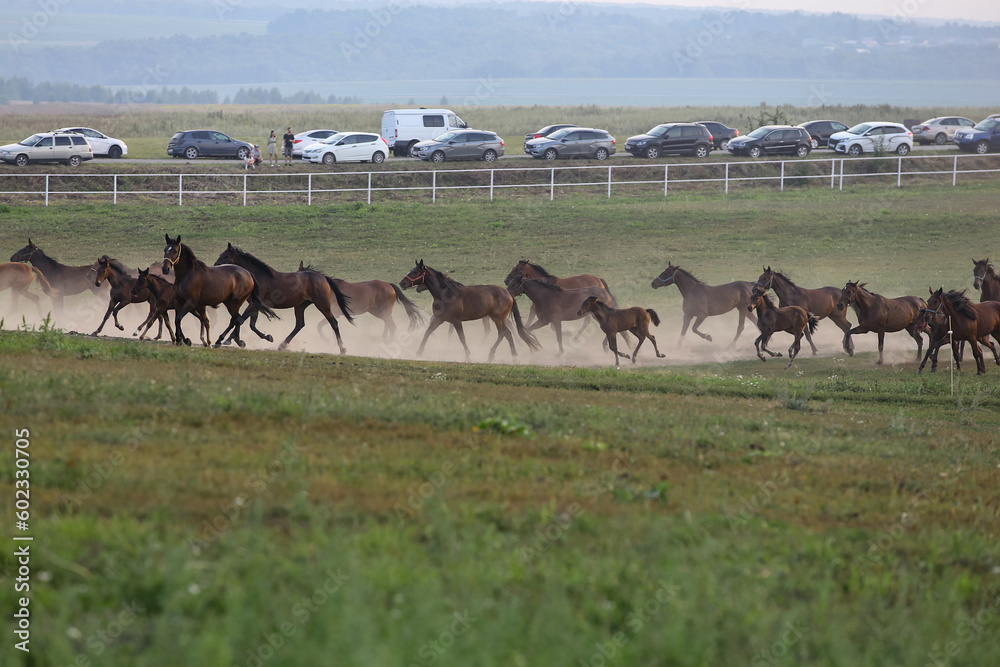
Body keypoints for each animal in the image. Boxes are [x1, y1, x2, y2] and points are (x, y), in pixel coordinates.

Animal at [211, 244, 351, 353]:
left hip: (322, 304)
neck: (258, 277)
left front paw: (229, 340)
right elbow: (250, 323)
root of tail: (322, 277)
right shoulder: (255, 305)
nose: (215, 266)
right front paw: (264, 337)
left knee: (333, 323)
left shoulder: (254, 304)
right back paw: (282, 345)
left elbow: (241, 320)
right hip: (300, 306)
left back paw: (342, 349)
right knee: (299, 324)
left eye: (225, 256)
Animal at [400, 260, 540, 362]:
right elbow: (427, 333)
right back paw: (509, 356)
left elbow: (462, 338)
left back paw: (502, 356)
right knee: (507, 334)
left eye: (415, 272)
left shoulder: (456, 321)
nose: (402, 283)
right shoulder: (439, 319)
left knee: (504, 334)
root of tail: (508, 293)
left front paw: (468, 356)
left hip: (498, 319)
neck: (445, 294)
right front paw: (419, 352)